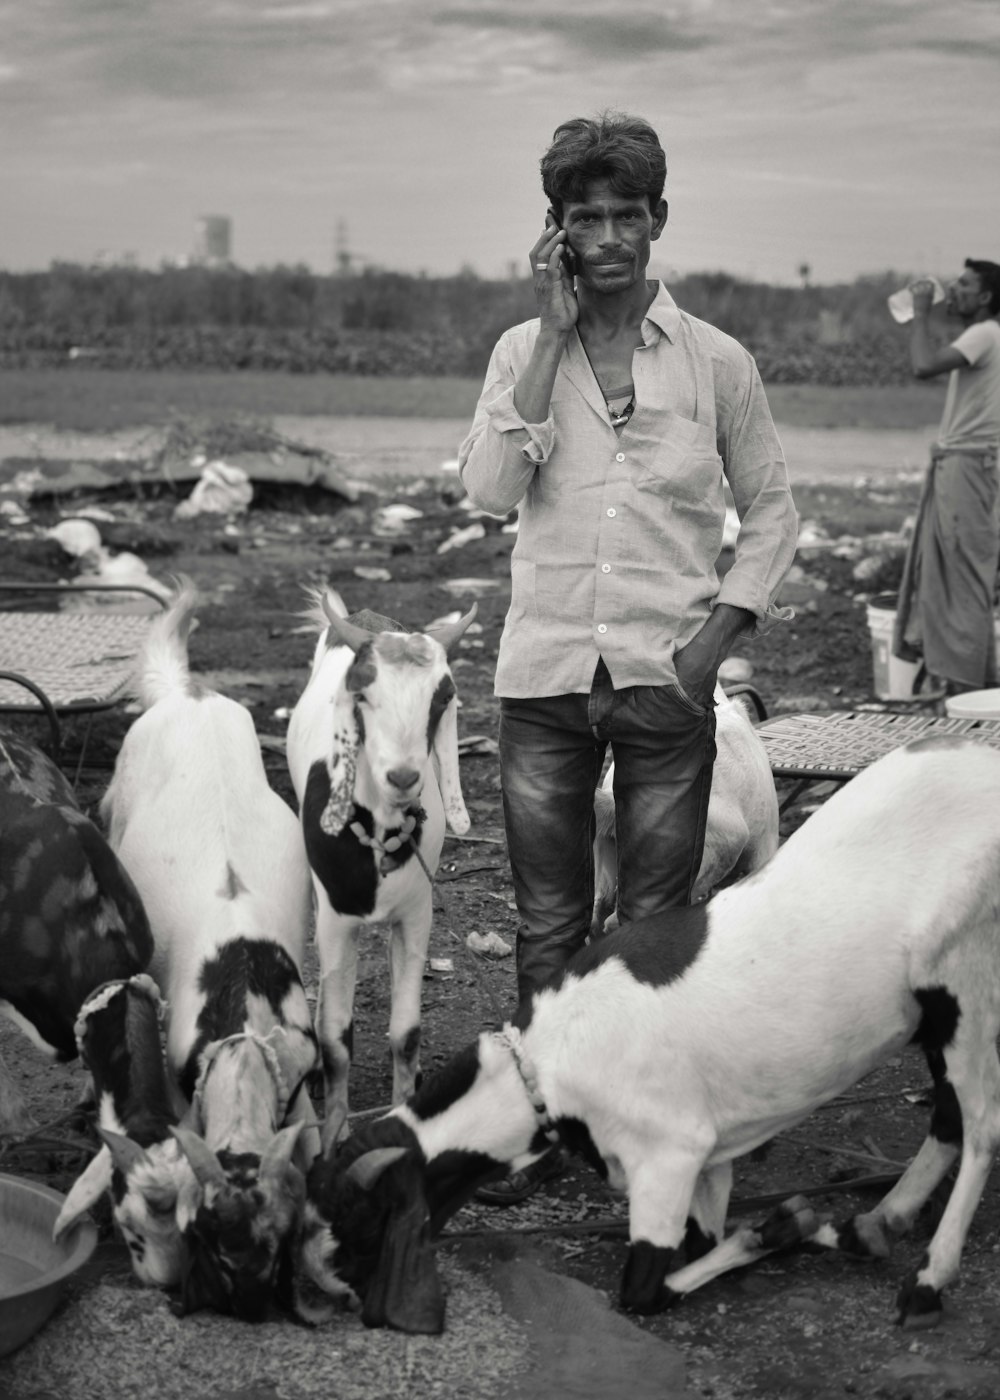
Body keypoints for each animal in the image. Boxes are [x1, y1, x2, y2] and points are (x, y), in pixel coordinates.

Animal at [284, 590, 476, 1148]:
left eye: (442, 697)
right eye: (362, 695)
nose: (405, 776)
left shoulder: (416, 914)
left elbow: (406, 1032)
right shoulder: (336, 920)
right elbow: (336, 1037)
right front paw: (332, 1137)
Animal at [295, 739, 1000, 1327]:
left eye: (360, 1220)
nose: (336, 1294)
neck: (549, 1062)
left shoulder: (669, 1155)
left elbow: (644, 1290)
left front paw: (784, 1225)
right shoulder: (708, 1156)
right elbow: (705, 1238)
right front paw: (801, 1229)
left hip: (969, 984)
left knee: (981, 1126)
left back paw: (928, 1281)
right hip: (934, 1014)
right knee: (948, 1115)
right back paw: (879, 1221)